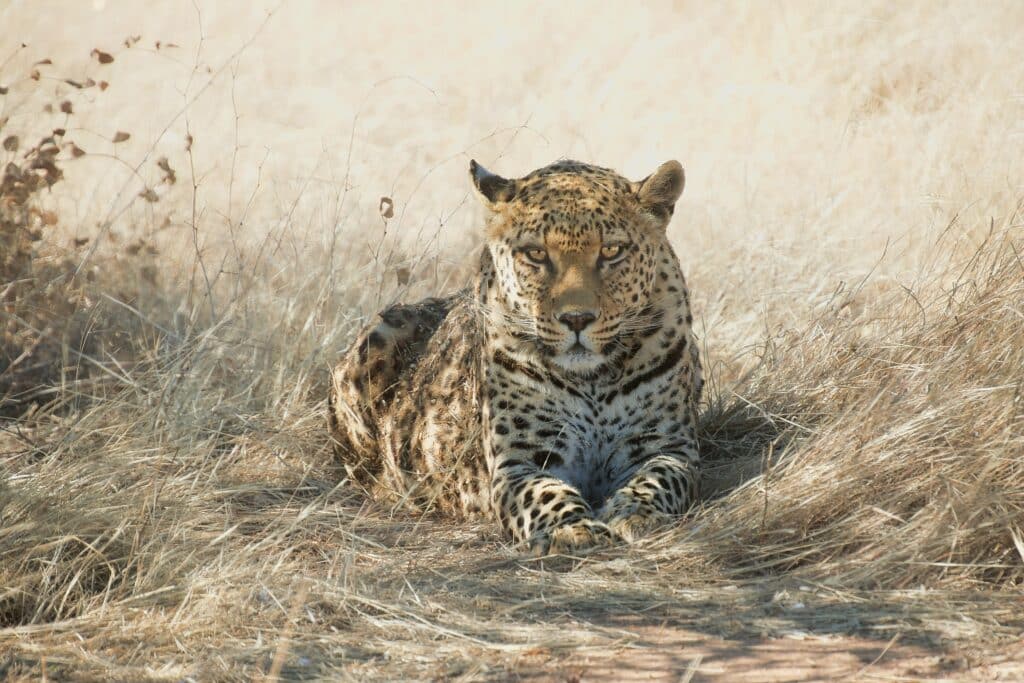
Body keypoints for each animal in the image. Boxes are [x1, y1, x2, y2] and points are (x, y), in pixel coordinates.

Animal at [328, 158, 702, 555]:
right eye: (536, 254)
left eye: (612, 251)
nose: (576, 319)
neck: (592, 382)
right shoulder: (520, 462)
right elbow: (545, 494)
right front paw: (571, 530)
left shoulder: (665, 446)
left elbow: (657, 480)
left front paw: (635, 513)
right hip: (375, 341)